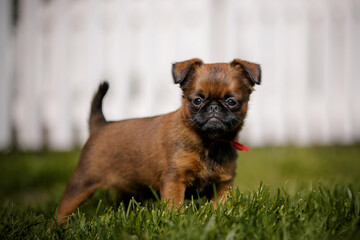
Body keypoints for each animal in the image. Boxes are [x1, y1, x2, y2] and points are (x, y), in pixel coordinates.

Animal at [54, 58, 260, 225]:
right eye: (197, 100)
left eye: (232, 101)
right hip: (83, 182)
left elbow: (222, 206)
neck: (209, 141)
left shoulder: (223, 184)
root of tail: (101, 125)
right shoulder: (175, 180)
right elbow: (174, 205)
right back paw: (58, 228)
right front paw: (176, 221)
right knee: (63, 209)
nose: (214, 107)